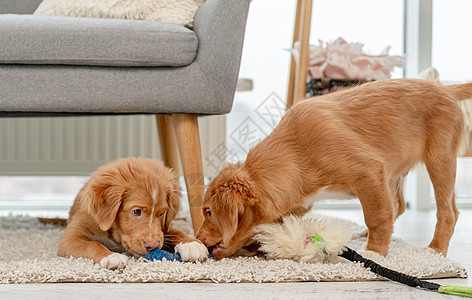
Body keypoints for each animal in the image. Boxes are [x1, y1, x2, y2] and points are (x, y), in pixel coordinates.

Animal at [198, 78, 472, 258]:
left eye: (208, 212)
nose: (198, 239)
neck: (296, 151)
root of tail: (445, 88)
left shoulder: (369, 172)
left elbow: (377, 216)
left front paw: (374, 253)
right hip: (396, 170)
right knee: (399, 205)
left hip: (440, 159)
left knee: (448, 211)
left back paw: (435, 249)